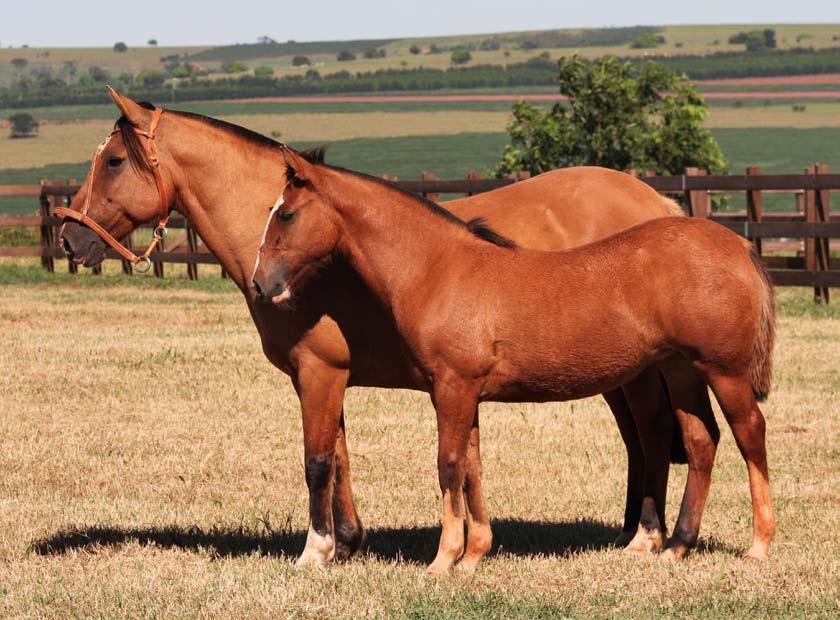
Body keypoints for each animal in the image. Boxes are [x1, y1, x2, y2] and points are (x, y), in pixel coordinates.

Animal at [57, 89, 704, 568]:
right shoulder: (323, 375)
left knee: (651, 435)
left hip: (637, 375)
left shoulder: (320, 372)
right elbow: (340, 456)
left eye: (113, 161)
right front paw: (347, 543)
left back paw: (648, 537)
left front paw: (317, 550)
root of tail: (663, 206)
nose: (68, 237)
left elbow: (317, 459)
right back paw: (631, 532)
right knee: (639, 441)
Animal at [253, 148, 776, 572]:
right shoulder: (464, 393)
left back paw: (758, 545)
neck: (438, 269)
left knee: (749, 433)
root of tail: (738, 245)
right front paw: (473, 556)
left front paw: (443, 561)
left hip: (723, 371)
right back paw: (677, 546)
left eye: (287, 215)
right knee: (701, 439)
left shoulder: (452, 388)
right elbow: (472, 468)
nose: (261, 283)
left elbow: (448, 466)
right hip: (680, 368)